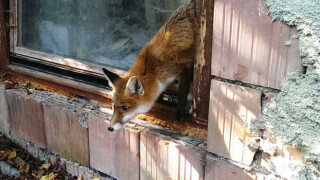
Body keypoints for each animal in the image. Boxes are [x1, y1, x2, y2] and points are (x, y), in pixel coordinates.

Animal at [102, 0, 200, 130]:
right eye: (114, 106)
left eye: (125, 108)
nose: (110, 128)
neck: (155, 66)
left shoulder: (187, 64)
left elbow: (184, 90)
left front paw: (183, 109)